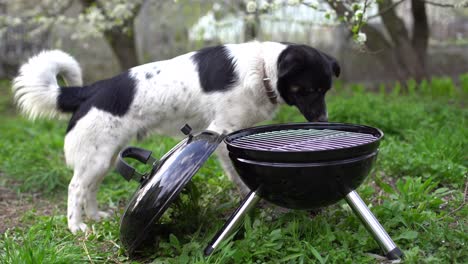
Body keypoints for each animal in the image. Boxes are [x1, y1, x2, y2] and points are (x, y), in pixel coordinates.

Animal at [11, 41, 340, 233]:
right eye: (308, 89)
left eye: (326, 90)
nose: (323, 121)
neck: (262, 69)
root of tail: (87, 91)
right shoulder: (223, 130)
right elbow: (239, 177)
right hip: (96, 158)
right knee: (75, 188)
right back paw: (77, 226)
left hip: (104, 157)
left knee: (89, 188)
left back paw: (94, 215)